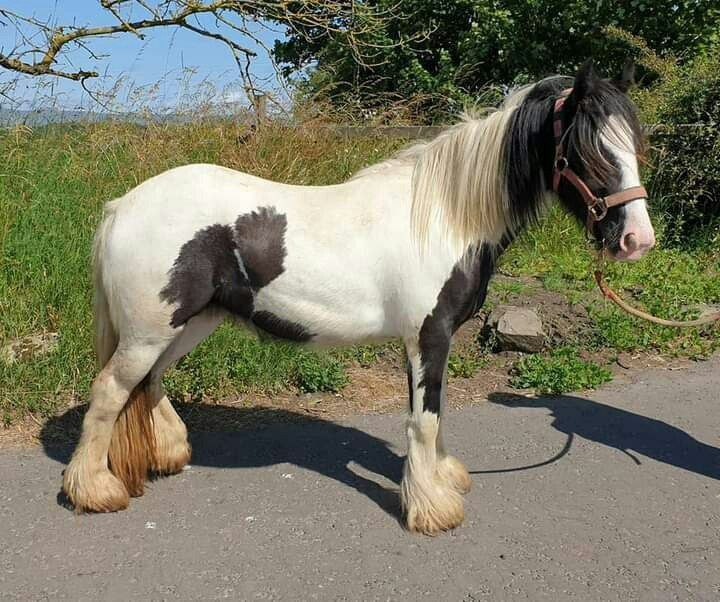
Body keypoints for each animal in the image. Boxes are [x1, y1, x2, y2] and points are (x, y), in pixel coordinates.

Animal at [62, 60, 655, 535]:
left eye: (632, 146)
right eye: (588, 150)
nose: (637, 240)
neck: (444, 217)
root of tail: (122, 206)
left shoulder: (428, 341)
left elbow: (434, 413)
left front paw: (442, 478)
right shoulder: (428, 337)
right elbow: (424, 419)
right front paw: (432, 508)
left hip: (188, 324)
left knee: (150, 384)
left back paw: (167, 454)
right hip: (150, 330)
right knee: (110, 393)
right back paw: (94, 490)